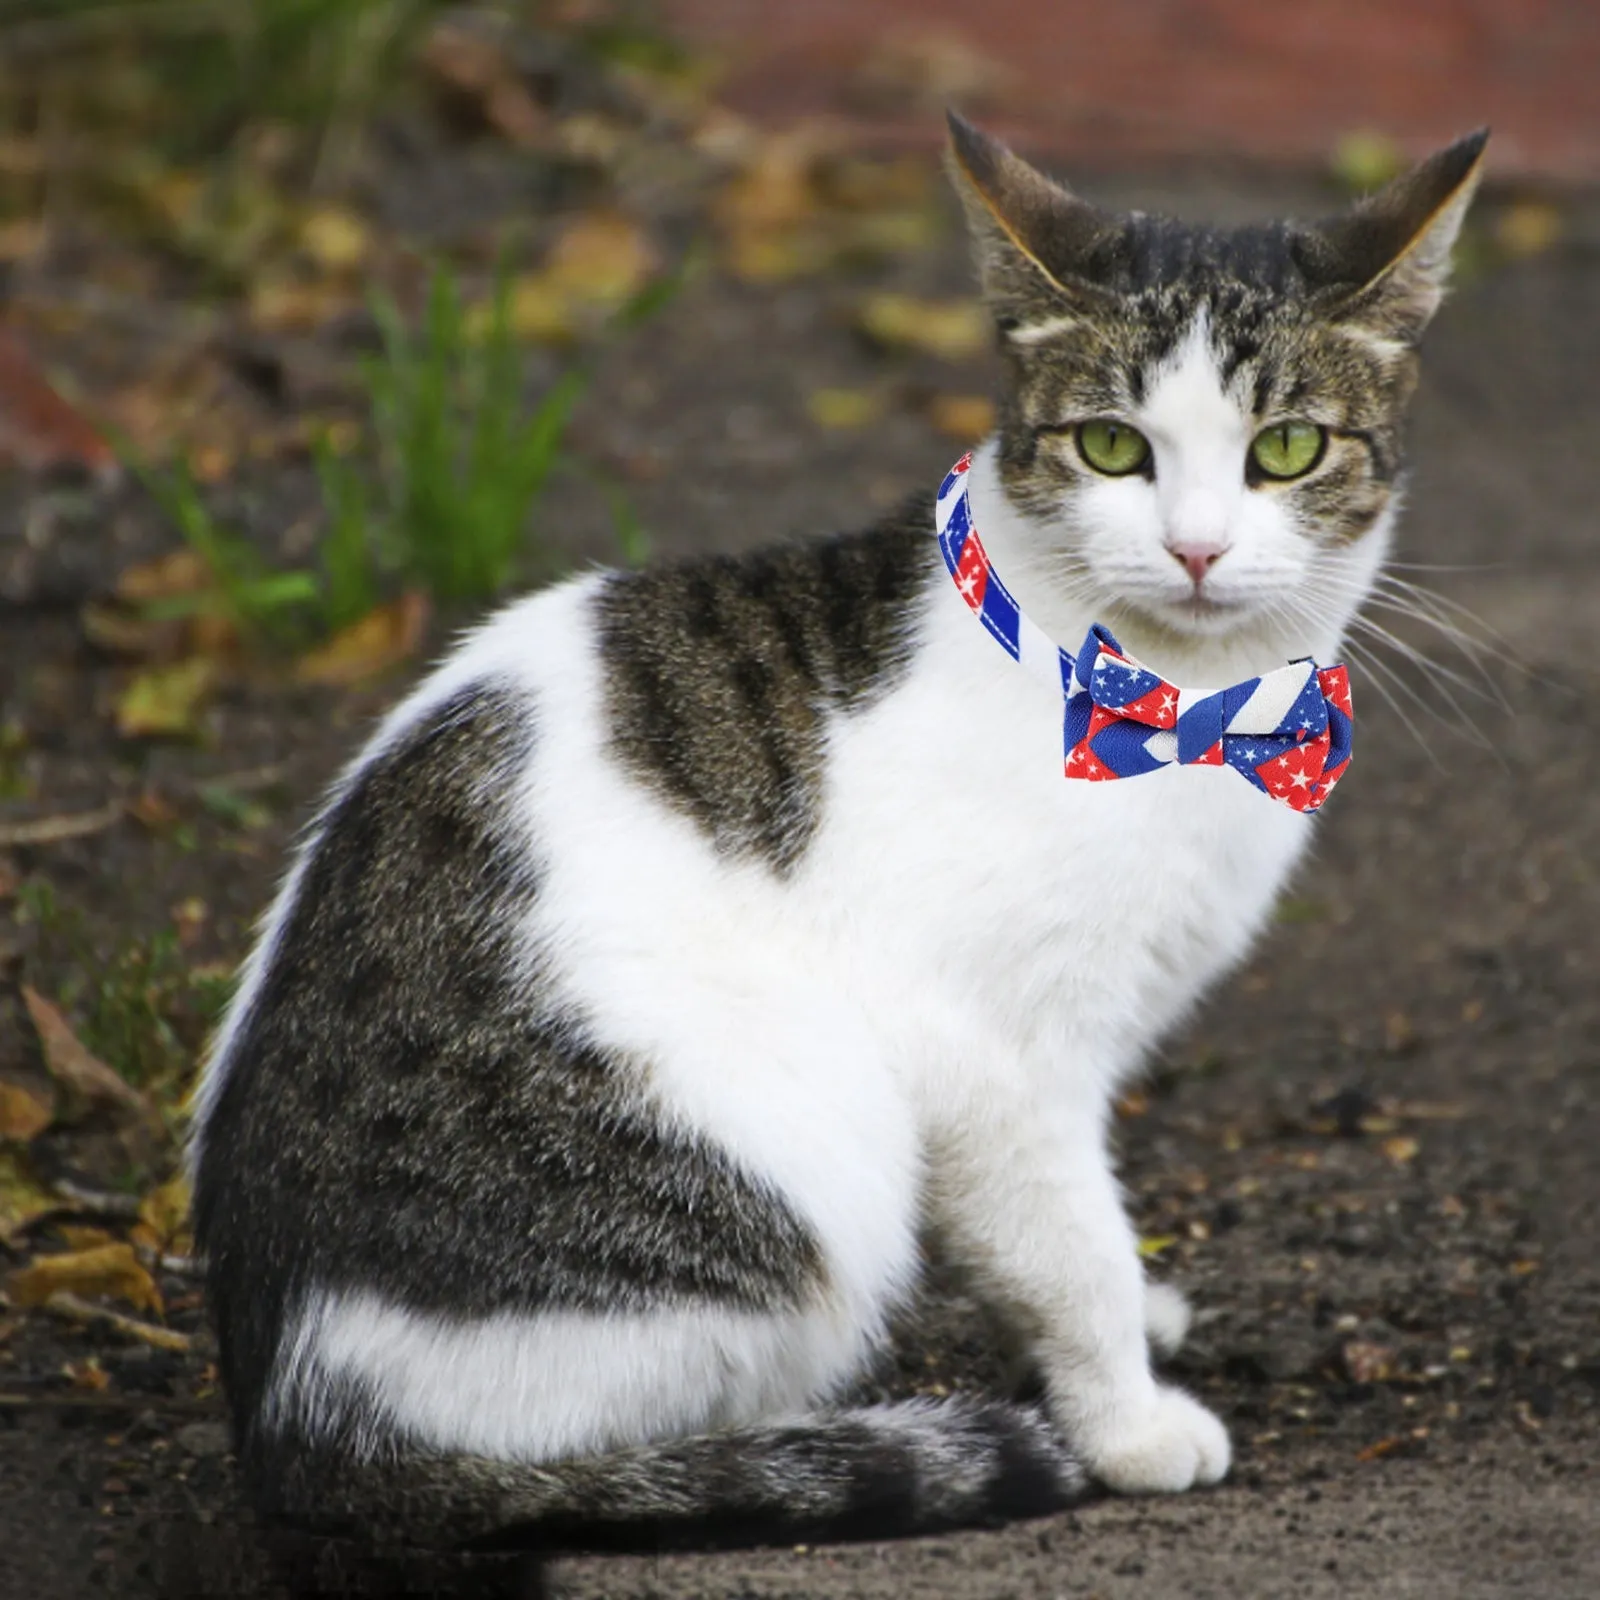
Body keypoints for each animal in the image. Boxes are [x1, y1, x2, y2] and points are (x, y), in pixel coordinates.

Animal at [187, 116, 1484, 1561]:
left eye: (1288, 449)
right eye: (1110, 448)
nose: (1197, 551)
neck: (1174, 700)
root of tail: (301, 1425)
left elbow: (1074, 1223)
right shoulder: (995, 1054)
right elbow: (1067, 1243)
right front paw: (1128, 1414)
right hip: (800, 1159)